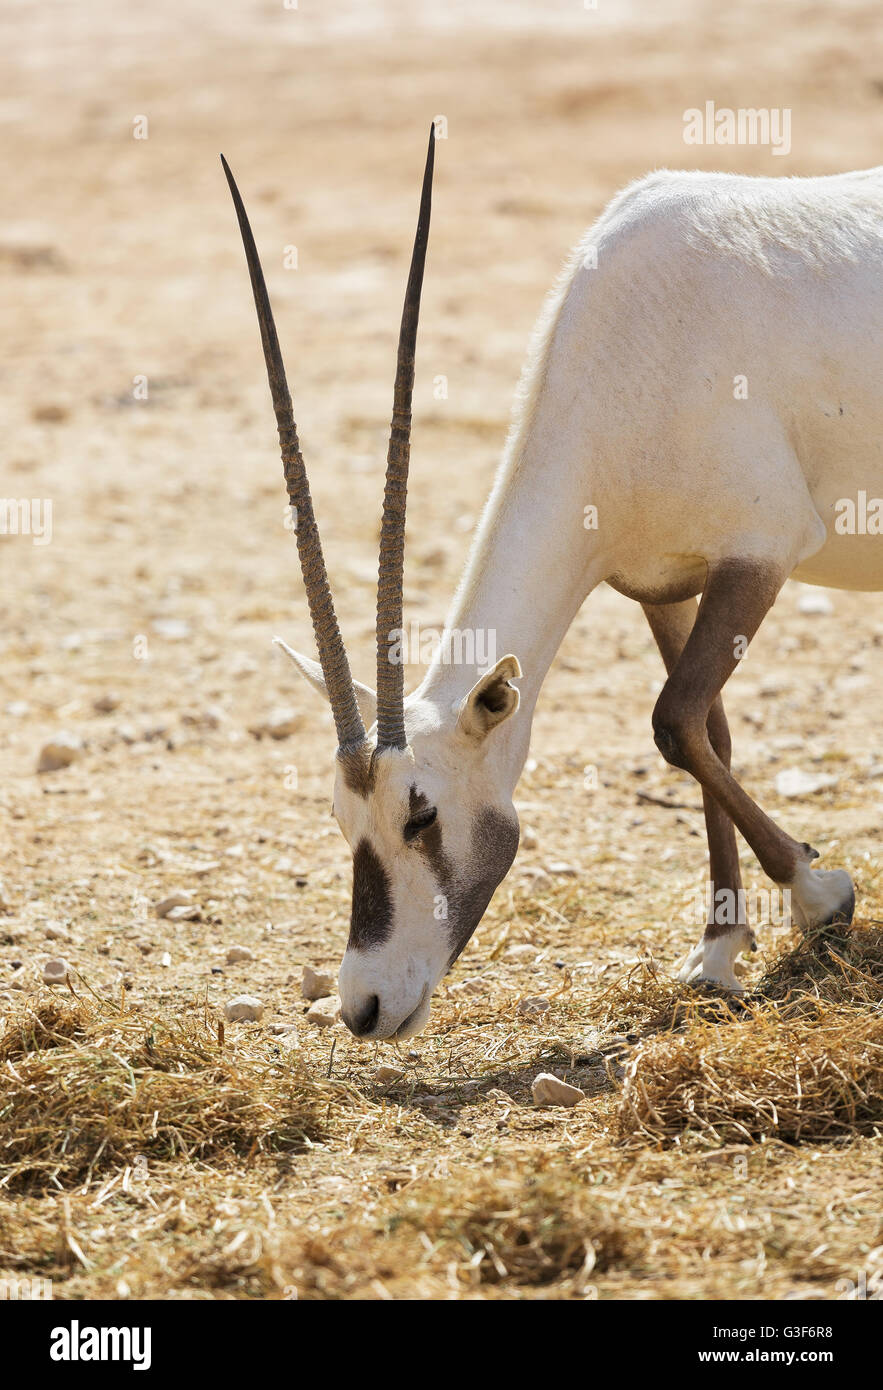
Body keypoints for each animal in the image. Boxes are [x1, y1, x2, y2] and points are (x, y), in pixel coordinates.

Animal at [223, 131, 881, 1040]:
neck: (635, 345)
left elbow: (673, 722)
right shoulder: (664, 583)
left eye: (420, 814)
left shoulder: (760, 554)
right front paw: (716, 950)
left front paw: (822, 895)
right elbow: (709, 732)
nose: (363, 1005)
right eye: (339, 816)